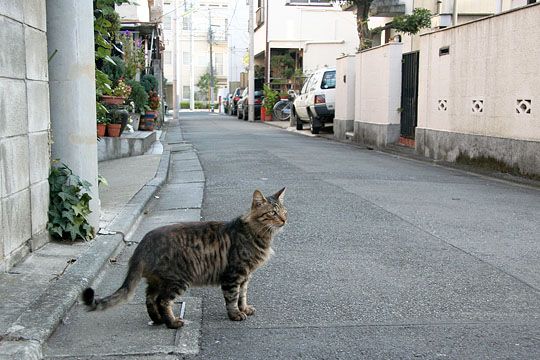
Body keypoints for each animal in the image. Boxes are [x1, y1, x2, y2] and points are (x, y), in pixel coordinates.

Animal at [83, 188, 286, 330]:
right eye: (272, 213)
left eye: (285, 211)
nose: (284, 220)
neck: (257, 234)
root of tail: (144, 242)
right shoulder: (234, 275)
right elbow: (232, 297)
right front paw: (235, 315)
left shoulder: (245, 277)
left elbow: (242, 296)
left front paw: (244, 309)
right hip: (179, 279)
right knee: (163, 301)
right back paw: (172, 323)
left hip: (158, 281)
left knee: (150, 299)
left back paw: (158, 320)